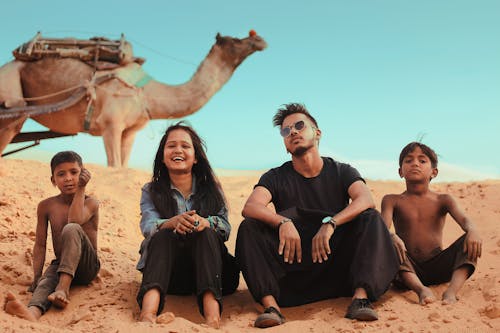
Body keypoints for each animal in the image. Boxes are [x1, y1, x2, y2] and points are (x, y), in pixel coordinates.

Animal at [0, 31, 266, 166]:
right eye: (235, 40)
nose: (259, 39)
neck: (147, 94)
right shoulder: (110, 124)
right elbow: (114, 166)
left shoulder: (130, 132)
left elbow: (124, 167)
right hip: (11, 90)